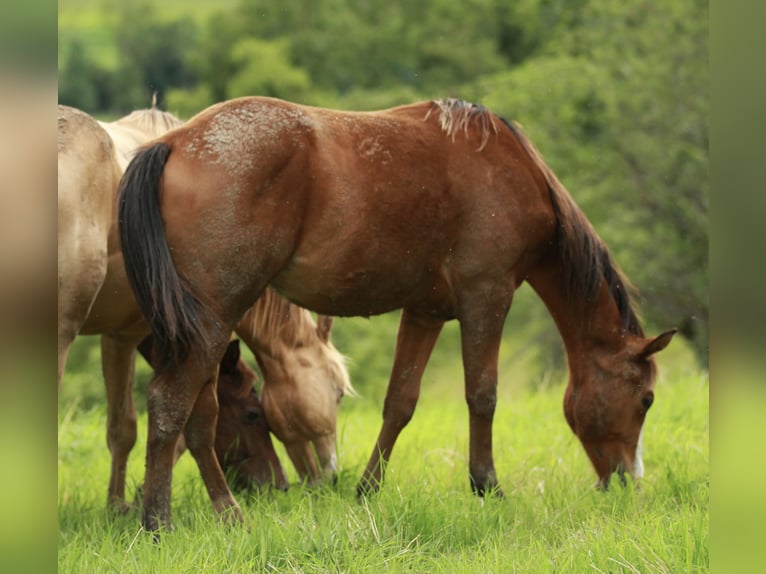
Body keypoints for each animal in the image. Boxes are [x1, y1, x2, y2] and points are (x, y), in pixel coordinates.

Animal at [117, 94, 676, 532]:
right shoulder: (487, 297)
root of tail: (175, 143)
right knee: (171, 404)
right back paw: (158, 521)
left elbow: (400, 402)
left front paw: (367, 489)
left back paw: (219, 513)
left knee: (196, 415)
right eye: (646, 399)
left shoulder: (425, 311)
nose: (627, 481)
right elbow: (482, 395)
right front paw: (487, 487)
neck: (514, 172)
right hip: (213, 319)